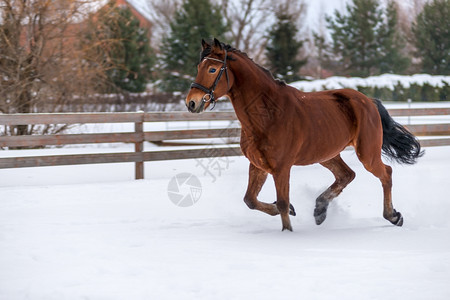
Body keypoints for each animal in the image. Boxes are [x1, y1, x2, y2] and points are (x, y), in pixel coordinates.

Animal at [185, 38, 422, 232]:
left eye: (213, 69)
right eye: (198, 67)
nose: (191, 103)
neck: (268, 113)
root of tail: (367, 101)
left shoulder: (281, 168)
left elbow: (281, 201)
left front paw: (287, 230)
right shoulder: (258, 165)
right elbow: (251, 200)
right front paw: (290, 210)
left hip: (367, 153)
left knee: (386, 174)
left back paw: (393, 216)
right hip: (326, 154)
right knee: (346, 175)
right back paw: (320, 210)